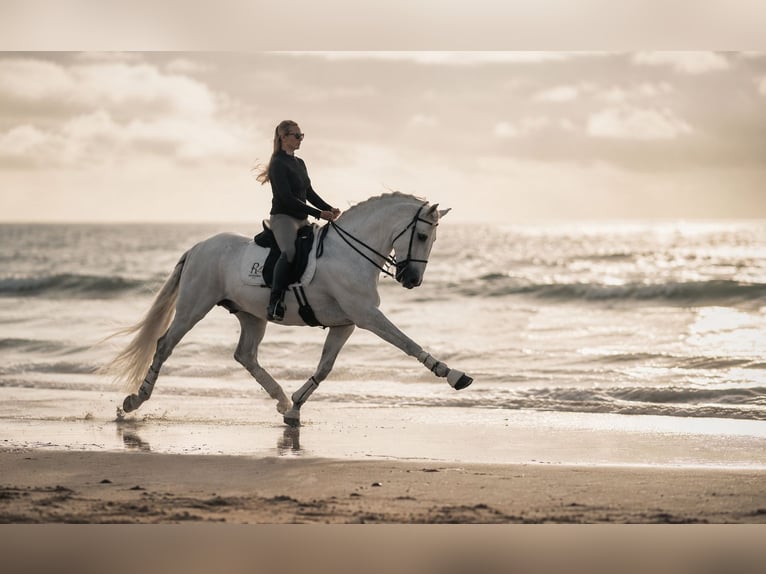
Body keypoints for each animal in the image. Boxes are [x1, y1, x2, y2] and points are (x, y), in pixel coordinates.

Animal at [102, 192, 473, 427]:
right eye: (422, 236)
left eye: (433, 239)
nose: (411, 279)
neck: (350, 254)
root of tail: (197, 247)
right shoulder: (367, 316)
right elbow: (407, 343)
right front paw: (453, 375)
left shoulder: (346, 323)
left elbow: (324, 368)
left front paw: (294, 408)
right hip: (194, 306)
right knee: (165, 344)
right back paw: (134, 401)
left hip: (252, 315)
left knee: (245, 355)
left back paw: (279, 397)